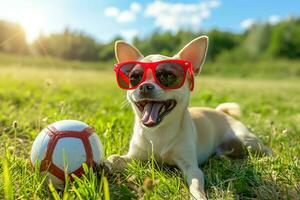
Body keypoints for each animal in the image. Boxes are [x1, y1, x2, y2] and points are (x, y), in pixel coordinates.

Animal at [105, 36, 272, 200]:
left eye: (168, 76)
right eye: (134, 78)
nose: (145, 86)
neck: (159, 131)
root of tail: (221, 112)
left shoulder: (191, 167)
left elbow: (196, 184)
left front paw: (198, 197)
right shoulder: (134, 157)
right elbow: (116, 158)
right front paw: (106, 164)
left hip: (247, 140)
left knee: (265, 149)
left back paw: (267, 158)